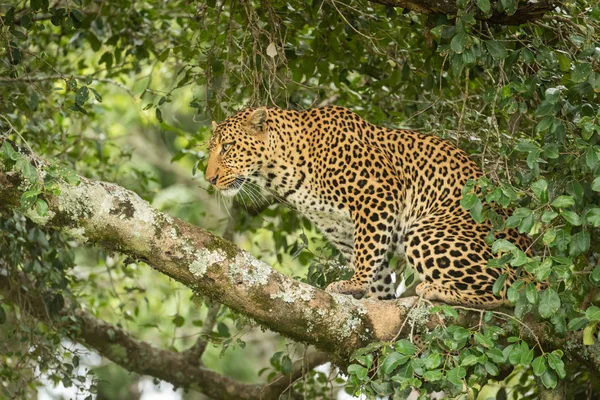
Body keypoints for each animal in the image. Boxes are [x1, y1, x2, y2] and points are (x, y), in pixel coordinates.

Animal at [205, 105, 536, 310]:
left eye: (228, 147)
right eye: (212, 149)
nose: (209, 178)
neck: (281, 171)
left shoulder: (377, 194)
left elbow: (368, 251)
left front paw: (355, 282)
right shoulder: (338, 227)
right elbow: (372, 261)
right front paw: (376, 298)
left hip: (427, 232)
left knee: (505, 290)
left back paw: (437, 289)